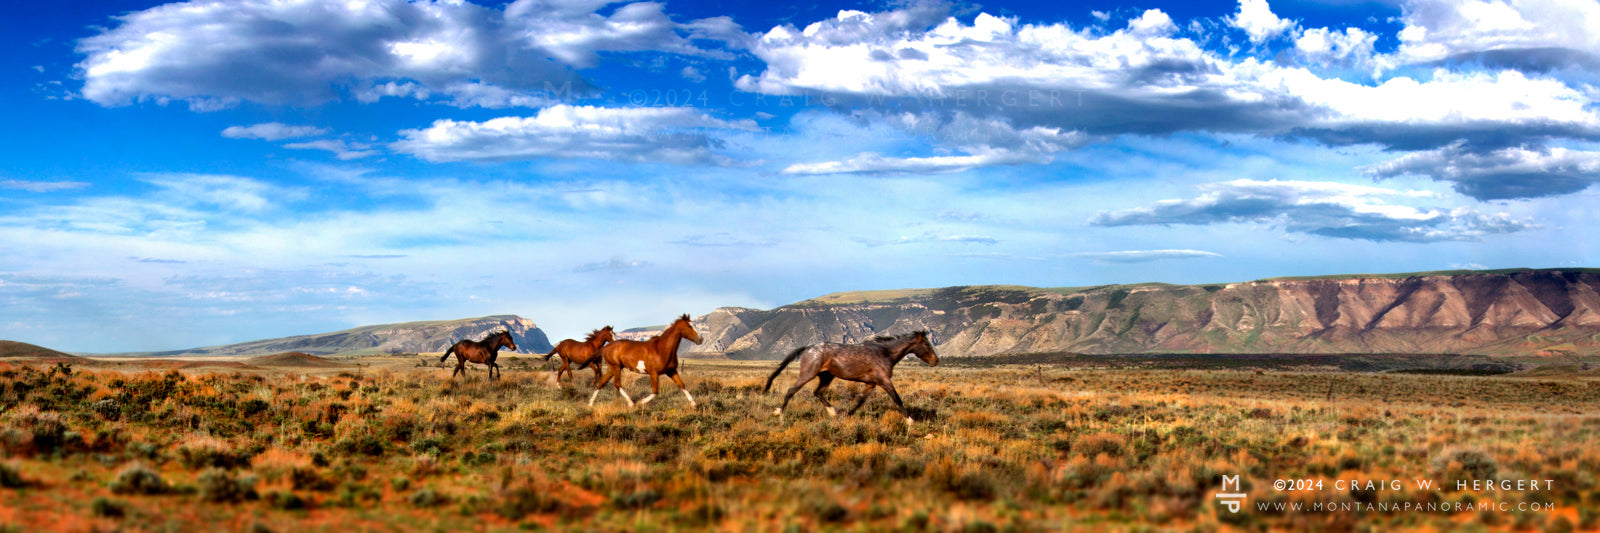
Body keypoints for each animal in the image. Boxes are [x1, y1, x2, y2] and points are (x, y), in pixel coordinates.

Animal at [761, 329, 934, 425]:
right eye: (926, 344)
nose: (935, 360)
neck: (885, 353)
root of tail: (808, 348)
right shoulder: (884, 381)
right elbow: (897, 399)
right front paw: (910, 421)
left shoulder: (871, 383)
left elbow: (860, 401)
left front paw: (847, 415)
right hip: (808, 374)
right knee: (792, 390)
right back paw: (779, 414)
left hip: (827, 376)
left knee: (817, 392)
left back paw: (833, 412)